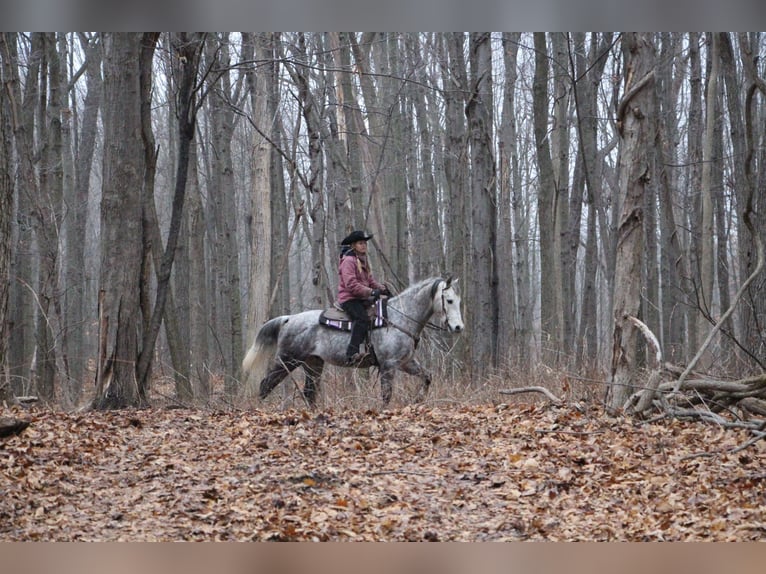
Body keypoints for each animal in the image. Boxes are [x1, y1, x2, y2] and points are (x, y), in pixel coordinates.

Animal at [243, 276, 464, 408]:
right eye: (449, 300)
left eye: (459, 301)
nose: (458, 327)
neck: (399, 318)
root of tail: (288, 319)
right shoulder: (389, 365)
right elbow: (386, 394)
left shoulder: (406, 362)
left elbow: (427, 377)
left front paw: (417, 400)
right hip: (288, 360)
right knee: (266, 385)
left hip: (313, 364)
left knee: (309, 392)